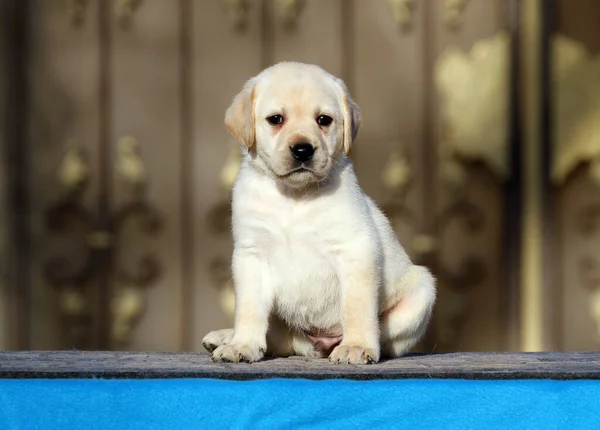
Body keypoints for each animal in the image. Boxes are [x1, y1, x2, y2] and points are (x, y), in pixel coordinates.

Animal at [203, 62, 436, 362]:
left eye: (324, 120)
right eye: (276, 119)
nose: (303, 150)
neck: (294, 197)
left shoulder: (355, 249)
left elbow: (357, 307)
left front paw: (357, 346)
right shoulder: (251, 255)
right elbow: (249, 310)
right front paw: (242, 345)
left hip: (422, 291)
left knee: (386, 335)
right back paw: (226, 336)